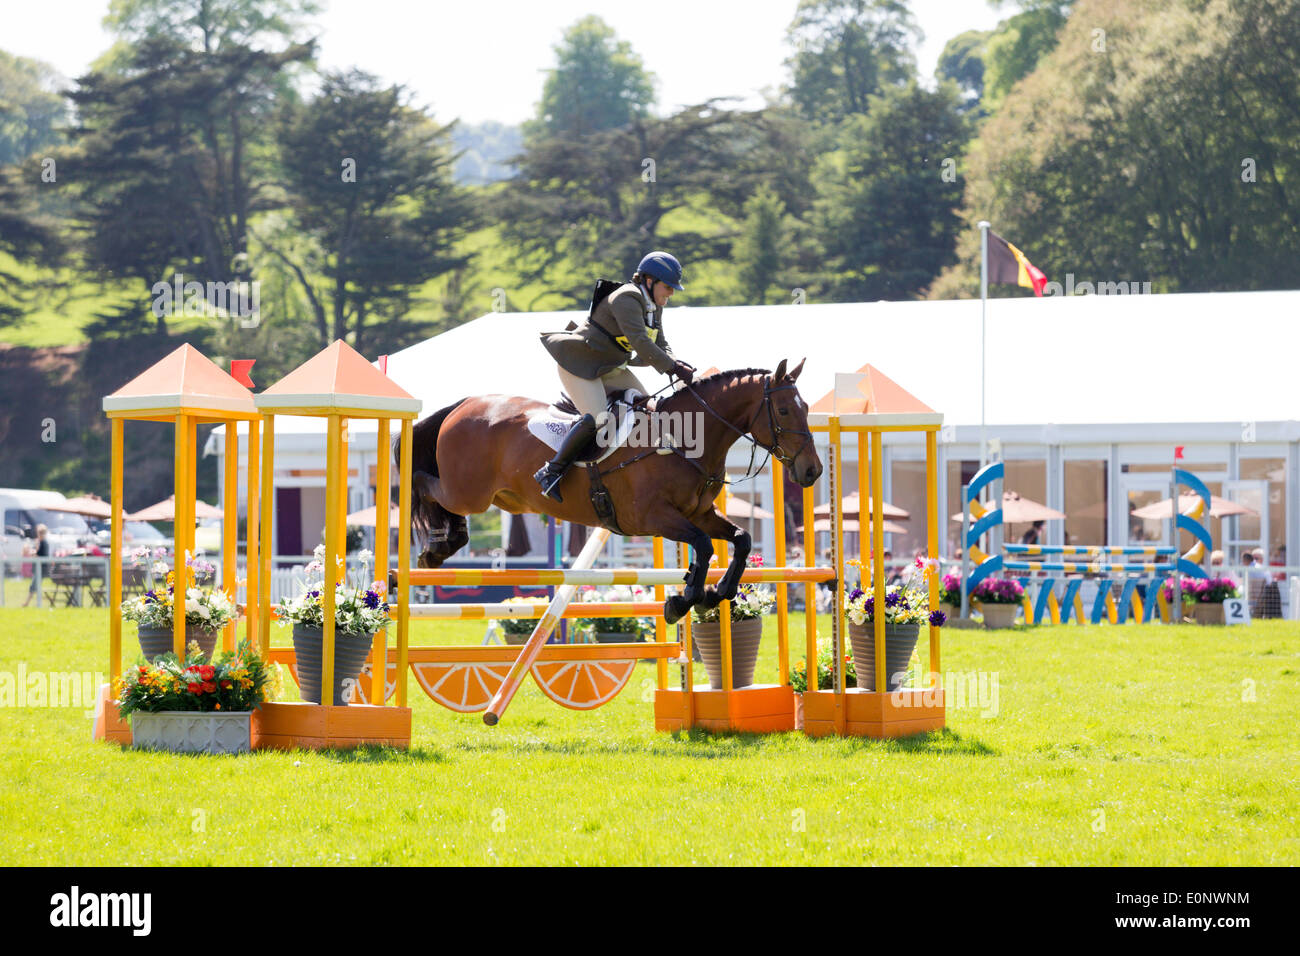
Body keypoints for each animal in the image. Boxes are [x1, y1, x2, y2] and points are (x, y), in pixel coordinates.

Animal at [403, 356, 821, 621]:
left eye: (806, 409)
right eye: (785, 411)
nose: (813, 471)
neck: (682, 439)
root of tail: (465, 404)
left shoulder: (700, 512)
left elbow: (742, 539)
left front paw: (715, 593)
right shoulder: (653, 518)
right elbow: (703, 546)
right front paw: (685, 600)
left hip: (496, 498)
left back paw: (444, 546)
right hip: (469, 492)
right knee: (425, 486)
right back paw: (434, 549)